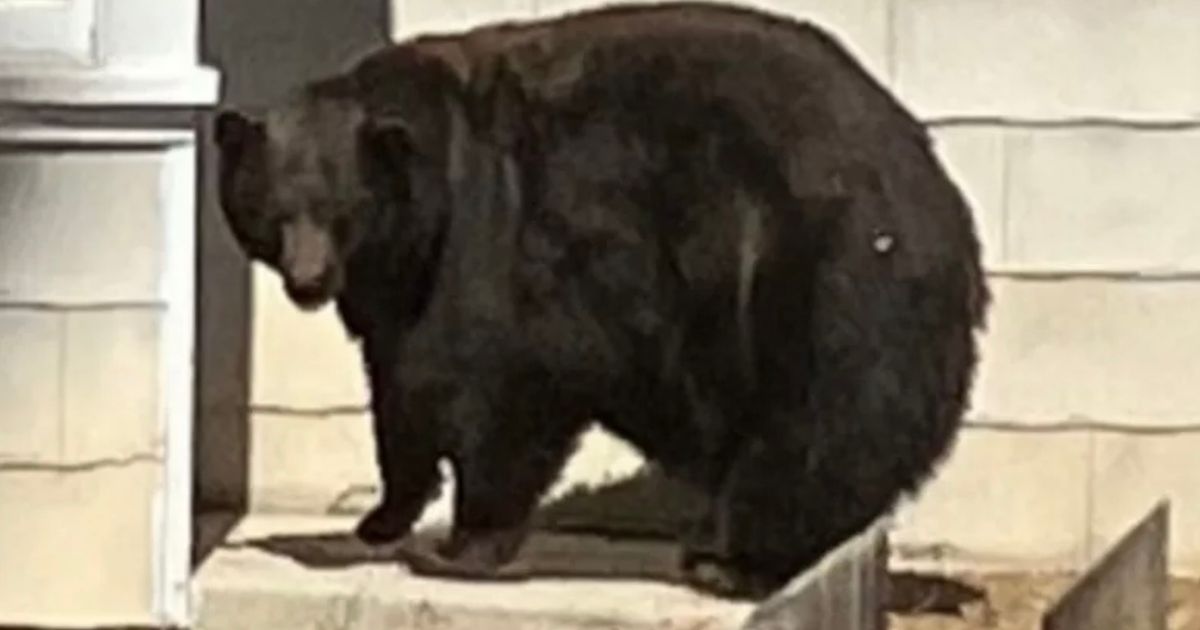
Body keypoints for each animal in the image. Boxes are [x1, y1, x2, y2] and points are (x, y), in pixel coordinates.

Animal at [213, 0, 989, 599]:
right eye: (273, 210)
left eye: (342, 209)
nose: (308, 281)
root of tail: (938, 192)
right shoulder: (397, 290)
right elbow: (401, 388)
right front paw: (380, 518)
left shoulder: (502, 238)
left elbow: (503, 384)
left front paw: (461, 545)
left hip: (816, 273)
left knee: (817, 422)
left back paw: (732, 560)